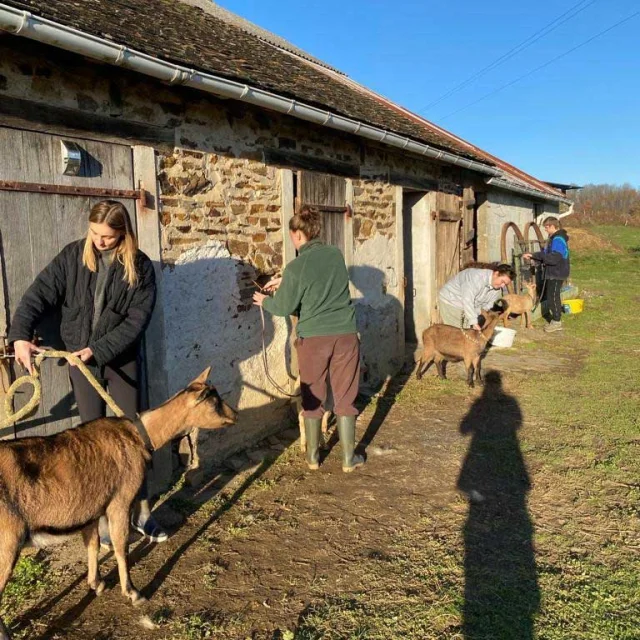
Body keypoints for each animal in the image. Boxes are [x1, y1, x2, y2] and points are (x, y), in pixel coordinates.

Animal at [0, 368, 235, 636]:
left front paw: (97, 584)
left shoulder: (91, 508)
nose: (235, 415)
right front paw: (133, 592)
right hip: (8, 539)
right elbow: (121, 545)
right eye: (213, 401)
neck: (139, 435)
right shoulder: (119, 501)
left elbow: (92, 544)